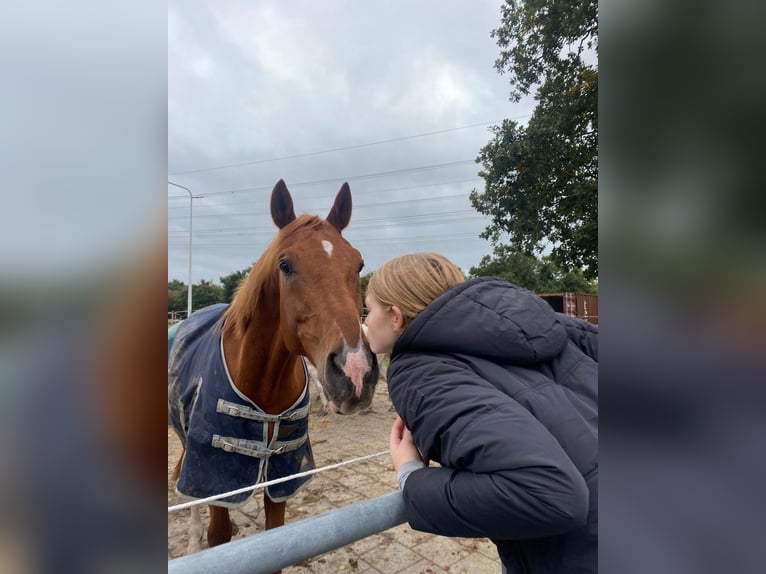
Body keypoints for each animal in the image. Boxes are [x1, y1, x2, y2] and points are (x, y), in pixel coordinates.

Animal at [168, 179, 379, 563]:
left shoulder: (281, 480)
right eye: (285, 264)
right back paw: (191, 541)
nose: (355, 371)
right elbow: (217, 533)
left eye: (358, 264)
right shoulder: (215, 475)